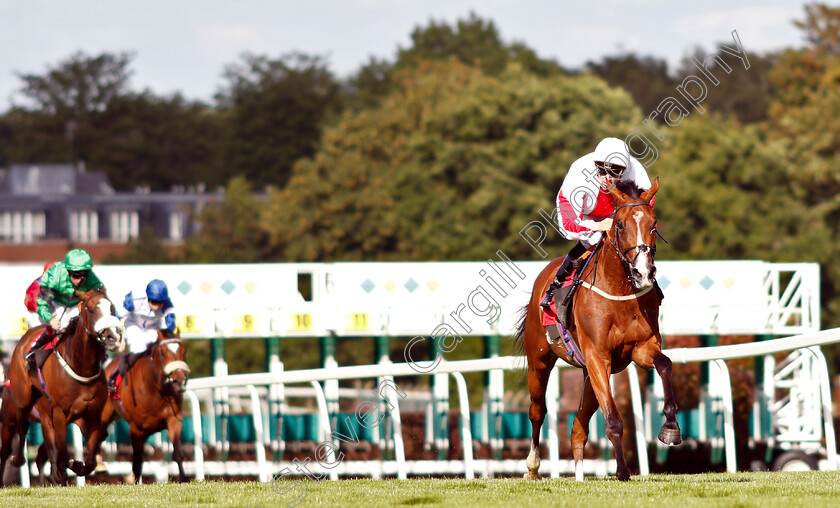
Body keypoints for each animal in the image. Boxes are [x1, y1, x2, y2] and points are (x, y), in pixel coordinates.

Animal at [0, 288, 123, 486]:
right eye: (90, 309)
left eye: (111, 308)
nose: (113, 336)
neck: (82, 367)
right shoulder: (58, 413)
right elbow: (62, 456)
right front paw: (63, 471)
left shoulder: (93, 414)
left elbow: (90, 459)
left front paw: (78, 465)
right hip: (20, 404)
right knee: (18, 431)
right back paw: (18, 460)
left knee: (40, 453)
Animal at [101, 330, 189, 484]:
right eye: (163, 353)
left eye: (183, 351)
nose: (180, 381)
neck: (156, 389)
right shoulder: (135, 428)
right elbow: (137, 461)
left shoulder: (174, 419)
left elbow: (178, 452)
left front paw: (183, 479)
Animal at [512, 180, 684, 484]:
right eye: (620, 225)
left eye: (653, 224)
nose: (643, 272)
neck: (620, 291)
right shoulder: (597, 357)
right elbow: (613, 420)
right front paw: (622, 471)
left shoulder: (641, 348)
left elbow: (664, 364)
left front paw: (671, 427)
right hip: (540, 359)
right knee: (537, 411)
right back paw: (532, 468)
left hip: (587, 375)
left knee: (578, 426)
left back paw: (580, 475)